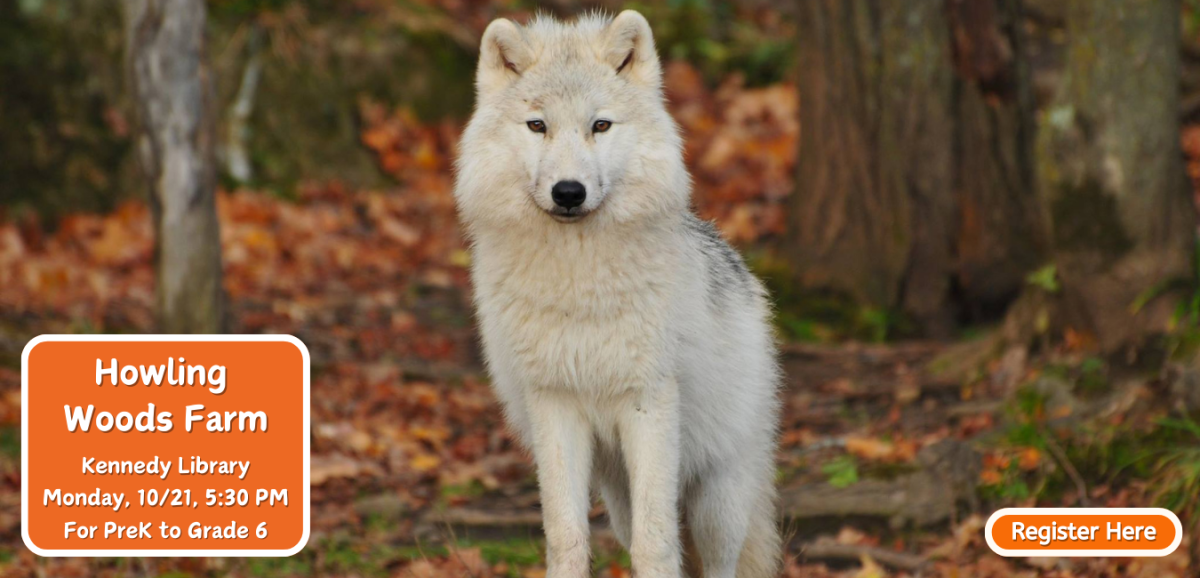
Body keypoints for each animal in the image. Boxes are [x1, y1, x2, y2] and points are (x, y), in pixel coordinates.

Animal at [453, 10, 782, 578]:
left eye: (600, 125)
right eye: (537, 126)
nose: (568, 192)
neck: (578, 284)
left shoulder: (648, 402)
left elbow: (656, 544)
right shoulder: (554, 404)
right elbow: (566, 537)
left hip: (717, 499)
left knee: (717, 558)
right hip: (618, 491)